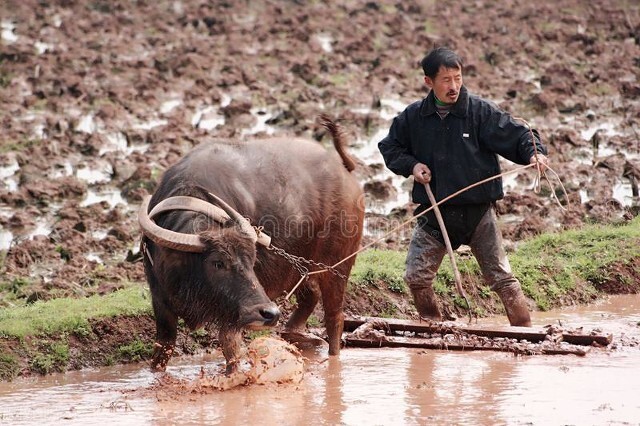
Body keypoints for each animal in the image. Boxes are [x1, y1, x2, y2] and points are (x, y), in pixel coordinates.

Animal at [138, 115, 362, 372]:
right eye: (218, 263)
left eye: (252, 261)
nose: (269, 313)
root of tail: (344, 168)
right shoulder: (160, 300)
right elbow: (162, 349)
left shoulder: (234, 313)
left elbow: (230, 346)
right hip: (302, 267)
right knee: (310, 297)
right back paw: (294, 335)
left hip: (338, 267)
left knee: (334, 318)